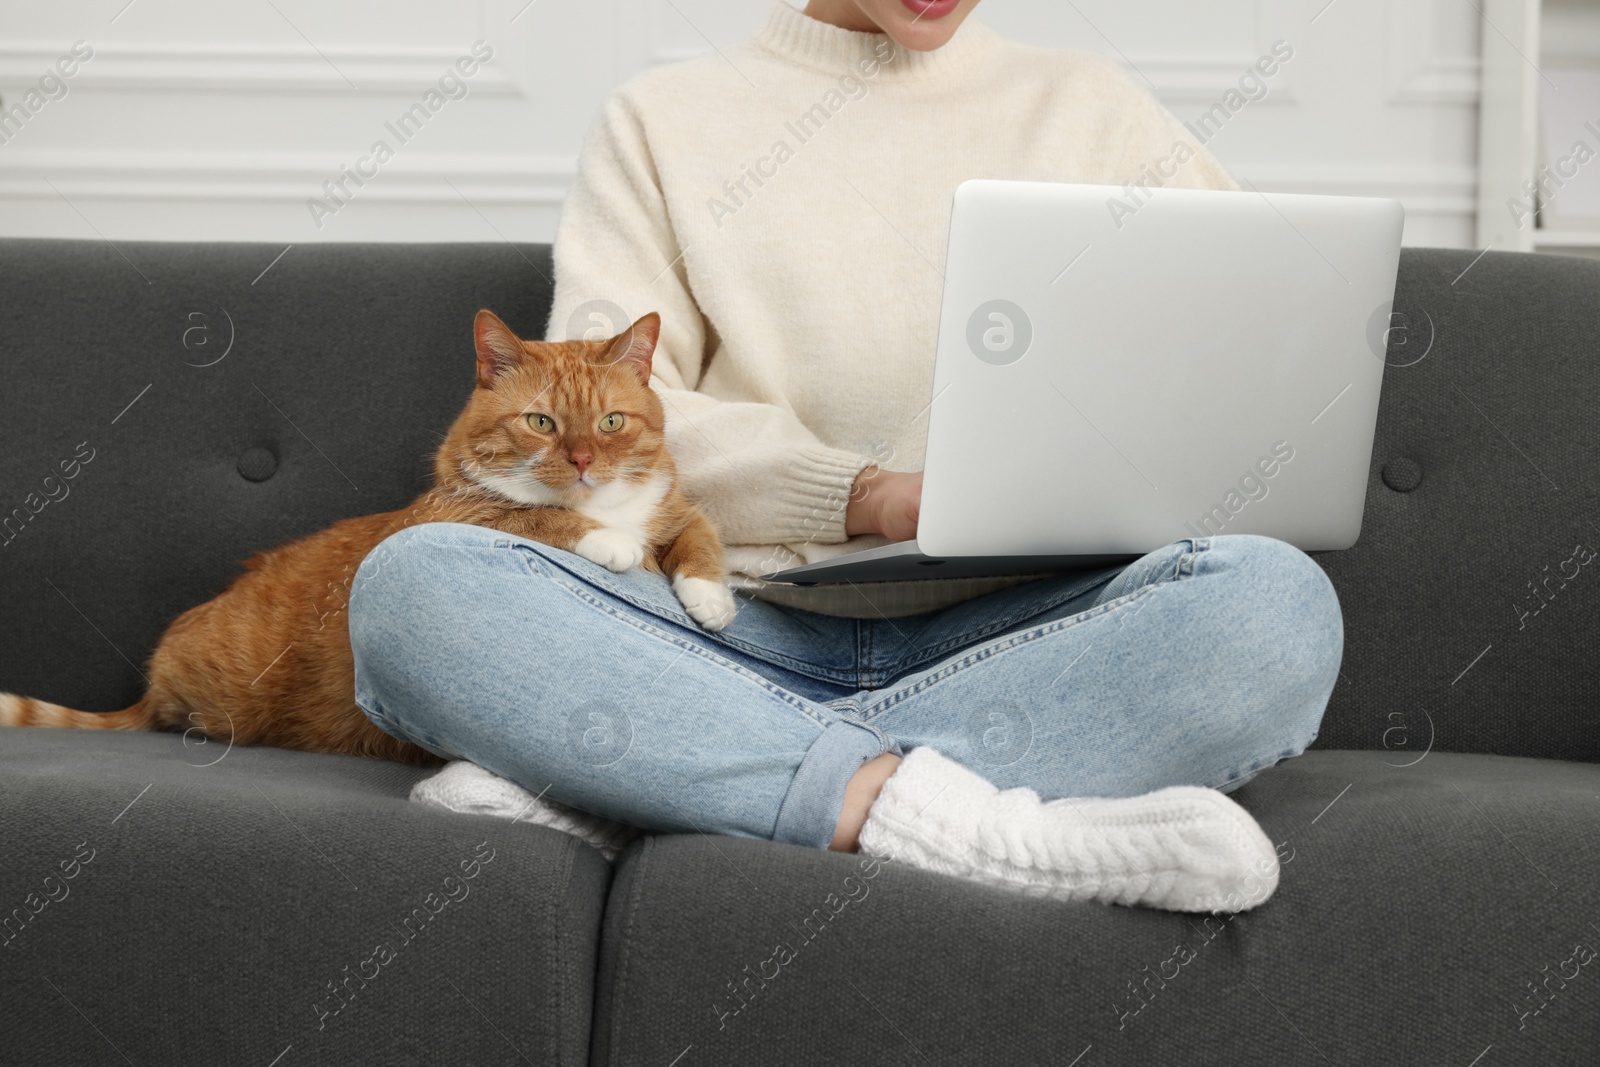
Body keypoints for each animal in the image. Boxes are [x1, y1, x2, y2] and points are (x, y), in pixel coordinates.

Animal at [0, 308, 736, 767]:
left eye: (611, 422)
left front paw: (711, 598)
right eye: (541, 423)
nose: (583, 462)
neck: (608, 503)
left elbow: (699, 532)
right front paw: (608, 541)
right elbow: (532, 515)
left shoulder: (673, 507)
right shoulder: (452, 514)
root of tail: (150, 685)